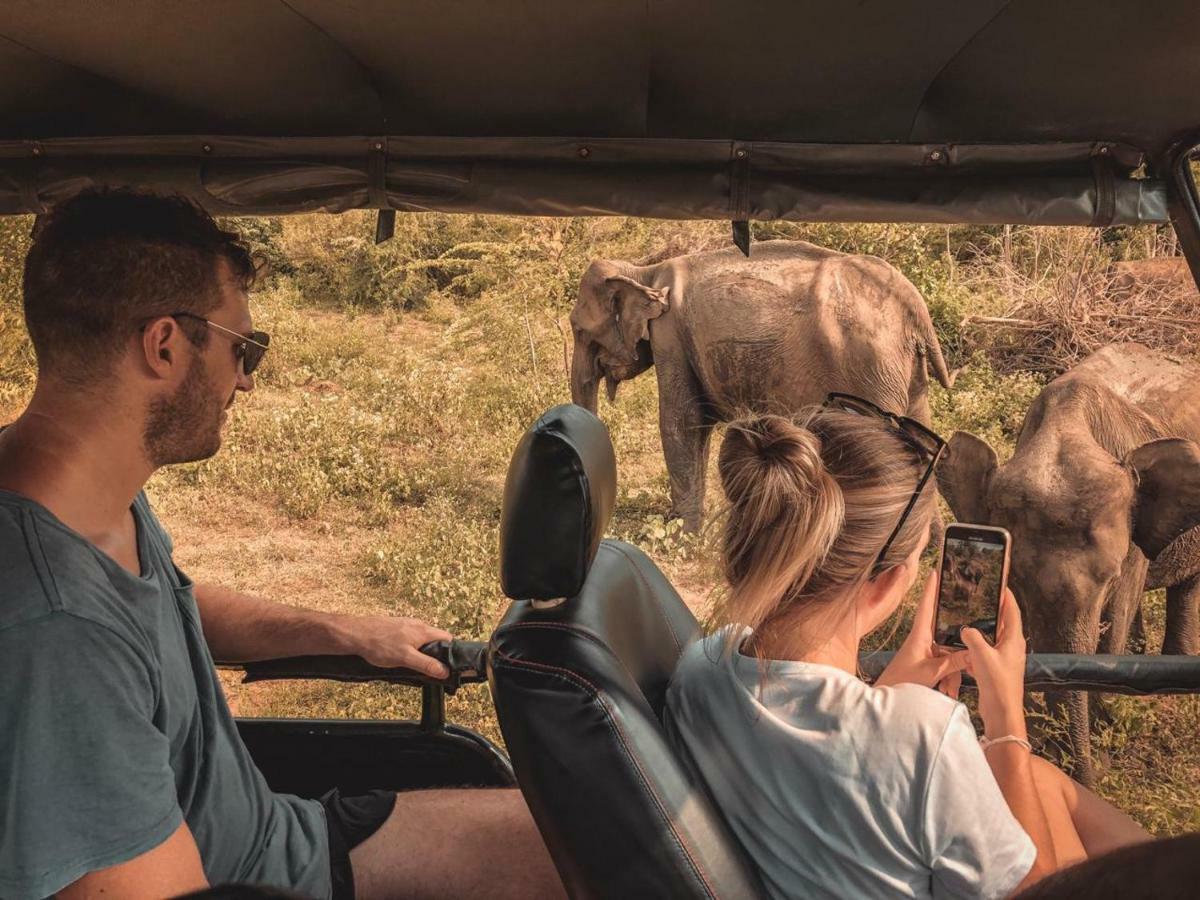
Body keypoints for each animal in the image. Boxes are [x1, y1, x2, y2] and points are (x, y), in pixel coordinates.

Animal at [571, 241, 955, 535]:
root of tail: (914, 309)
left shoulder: (671, 336)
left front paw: (684, 535)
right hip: (905, 372)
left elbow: (681, 422)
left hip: (871, 366)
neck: (643, 272)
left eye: (578, 329)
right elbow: (698, 424)